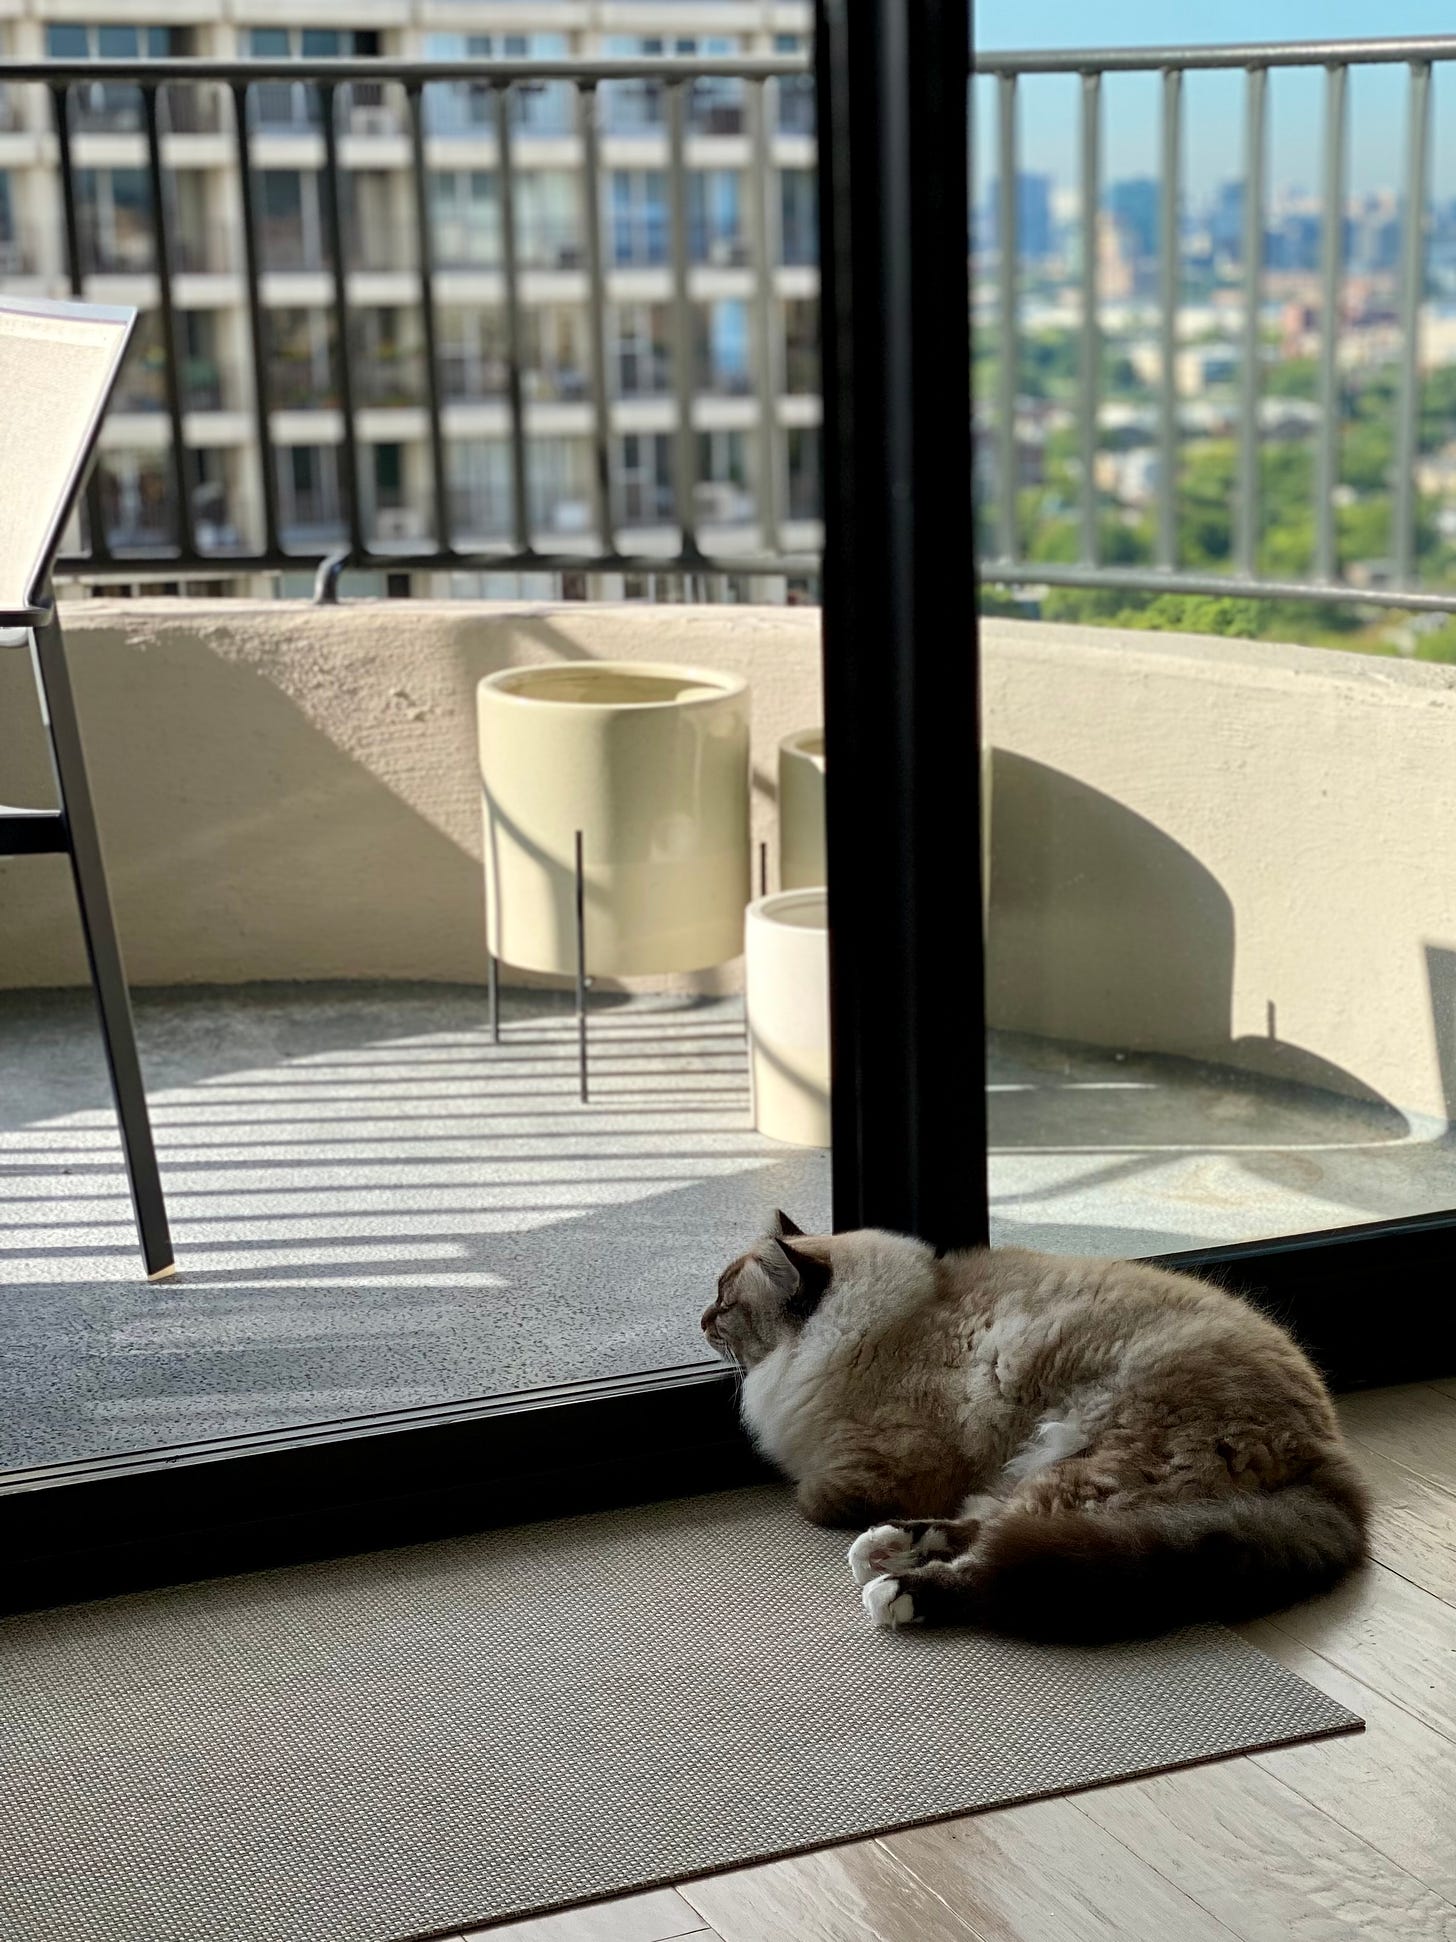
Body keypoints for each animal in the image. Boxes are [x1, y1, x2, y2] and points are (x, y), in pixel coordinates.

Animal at [702, 1211, 1366, 1639]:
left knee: (998, 1552)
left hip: (1091, 1465)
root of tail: (1334, 1469)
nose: (702, 1319)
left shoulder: (878, 1471)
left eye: (726, 1303)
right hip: (1059, 1468)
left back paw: (896, 1589)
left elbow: (809, 1499)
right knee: (993, 1525)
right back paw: (888, 1547)